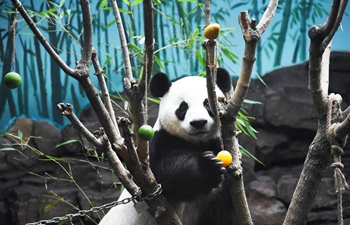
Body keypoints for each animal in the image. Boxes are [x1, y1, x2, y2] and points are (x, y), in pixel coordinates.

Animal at [98, 68, 235, 225]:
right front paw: (209, 166)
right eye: (183, 107)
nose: (198, 122)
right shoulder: (160, 142)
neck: (197, 142)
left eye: (207, 104)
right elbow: (163, 172)